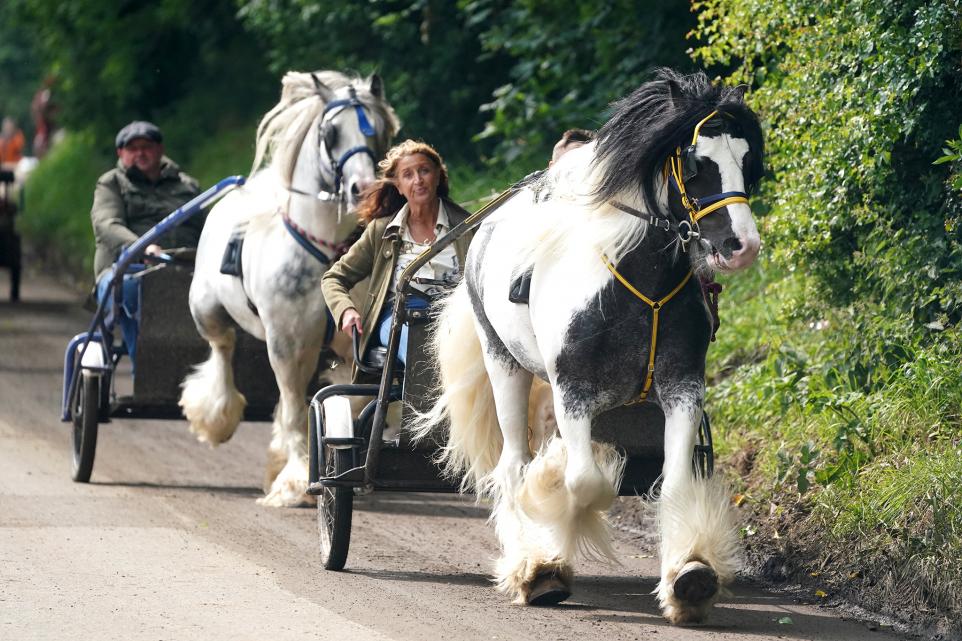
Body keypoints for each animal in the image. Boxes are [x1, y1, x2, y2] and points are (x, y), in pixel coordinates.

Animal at [180, 71, 399, 507]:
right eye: (331, 132)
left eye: (380, 129)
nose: (363, 189)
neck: (329, 252)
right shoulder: (286, 340)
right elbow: (298, 408)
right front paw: (296, 481)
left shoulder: (354, 343)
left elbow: (350, 399)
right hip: (208, 310)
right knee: (223, 348)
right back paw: (218, 417)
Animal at [412, 69, 763, 623]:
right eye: (696, 164)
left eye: (748, 162)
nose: (741, 246)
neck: (636, 282)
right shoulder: (573, 391)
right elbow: (584, 482)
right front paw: (549, 547)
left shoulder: (682, 388)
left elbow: (676, 482)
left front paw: (688, 576)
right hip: (503, 363)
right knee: (514, 464)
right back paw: (531, 558)